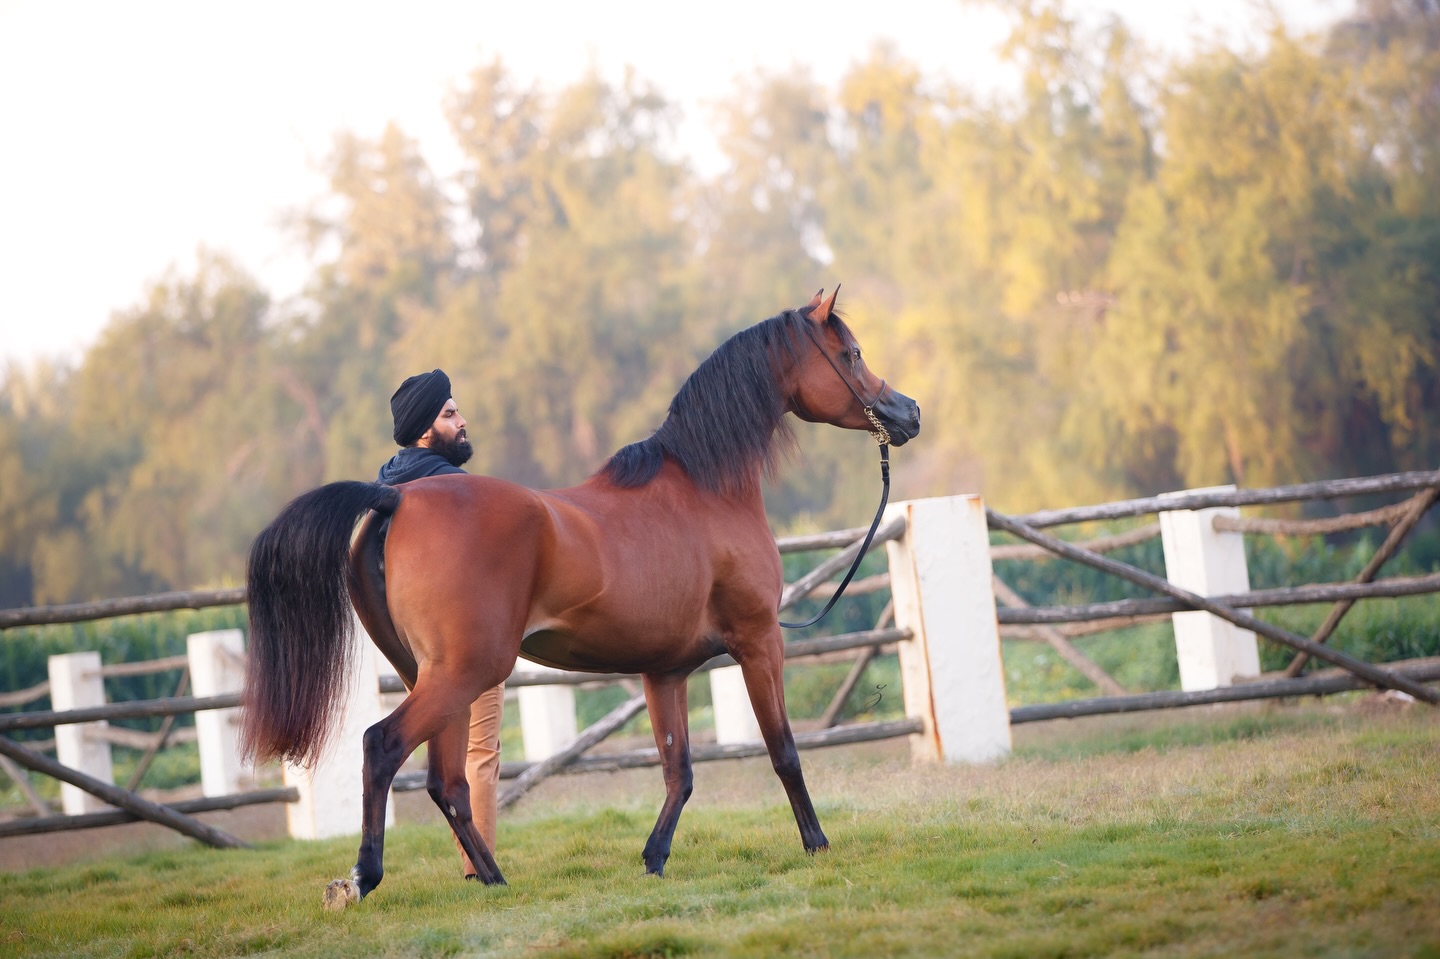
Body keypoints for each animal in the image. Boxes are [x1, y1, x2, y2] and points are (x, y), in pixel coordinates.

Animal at [240, 287, 920, 905]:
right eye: (852, 353)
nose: (908, 412)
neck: (703, 488)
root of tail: (395, 499)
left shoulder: (665, 672)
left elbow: (679, 771)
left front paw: (653, 859)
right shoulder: (759, 642)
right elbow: (783, 751)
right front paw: (817, 845)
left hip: (433, 677)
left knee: (448, 781)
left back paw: (493, 879)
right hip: (464, 673)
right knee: (383, 748)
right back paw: (363, 877)